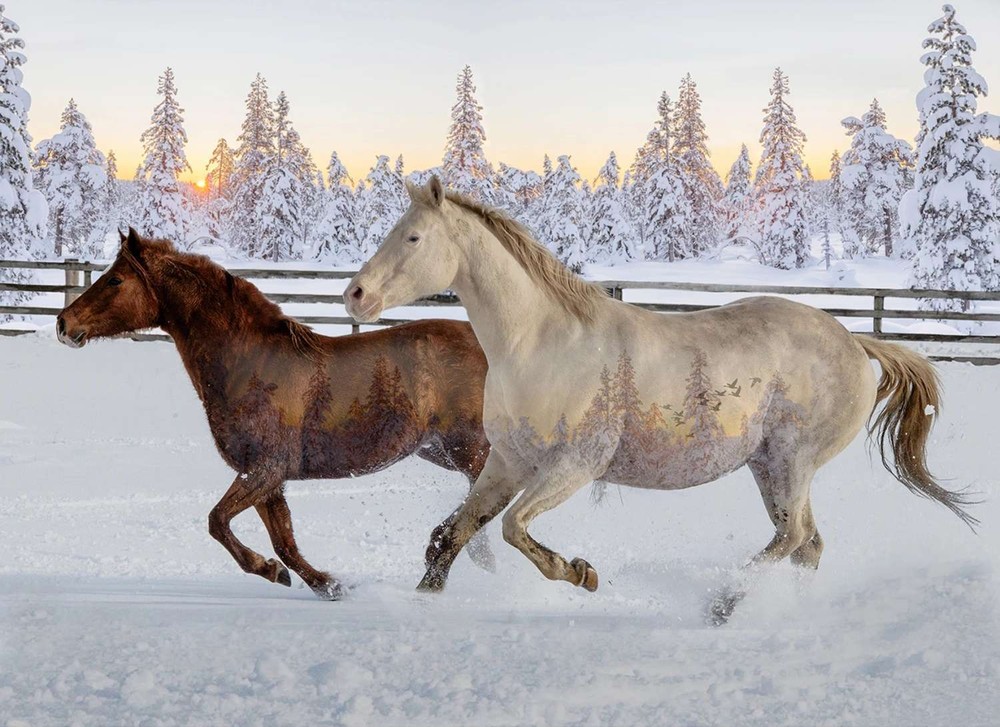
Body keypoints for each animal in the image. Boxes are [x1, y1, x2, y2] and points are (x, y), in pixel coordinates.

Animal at [56, 228, 493, 599]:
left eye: (115, 280)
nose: (64, 324)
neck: (250, 362)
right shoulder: (269, 480)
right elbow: (284, 543)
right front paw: (324, 584)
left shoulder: (264, 468)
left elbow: (218, 521)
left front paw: (271, 569)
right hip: (439, 450)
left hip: (470, 447)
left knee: (484, 501)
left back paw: (437, 570)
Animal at [343, 176, 976, 622]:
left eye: (413, 237)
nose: (355, 295)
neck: (541, 342)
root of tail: (854, 340)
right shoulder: (508, 461)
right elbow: (456, 532)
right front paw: (423, 598)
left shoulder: (575, 465)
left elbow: (513, 530)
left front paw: (582, 573)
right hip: (770, 466)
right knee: (806, 545)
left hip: (791, 461)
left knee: (793, 537)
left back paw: (722, 605)